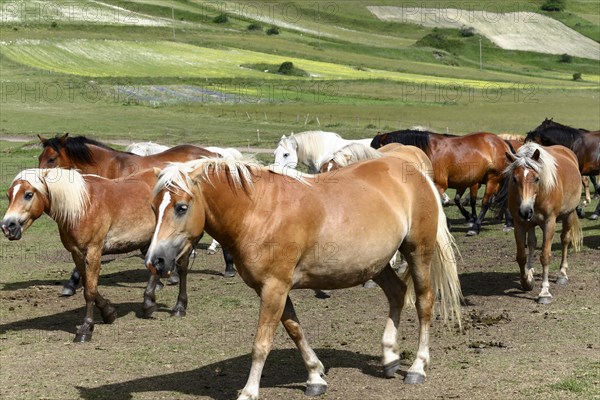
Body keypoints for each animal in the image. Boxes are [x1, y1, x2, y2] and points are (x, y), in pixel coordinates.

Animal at [0, 167, 190, 342]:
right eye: (9, 195)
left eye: (28, 194)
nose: (7, 226)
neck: (83, 206)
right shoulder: (77, 254)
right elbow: (88, 284)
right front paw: (108, 312)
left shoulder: (94, 251)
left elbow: (89, 291)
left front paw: (85, 329)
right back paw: (148, 304)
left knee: (182, 267)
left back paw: (178, 307)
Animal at [143, 156, 462, 400]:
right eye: (153, 207)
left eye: (181, 207)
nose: (155, 261)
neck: (259, 211)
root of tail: (415, 172)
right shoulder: (272, 288)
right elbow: (294, 329)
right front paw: (315, 376)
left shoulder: (274, 287)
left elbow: (261, 343)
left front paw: (249, 392)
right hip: (376, 263)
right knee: (396, 293)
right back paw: (390, 357)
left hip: (418, 252)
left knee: (424, 302)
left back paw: (417, 368)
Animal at [372, 130, 508, 236]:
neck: (427, 153)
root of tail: (502, 142)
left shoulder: (440, 185)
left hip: (493, 179)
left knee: (486, 203)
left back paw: (476, 227)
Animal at [504, 143, 584, 304]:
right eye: (514, 179)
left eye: (536, 178)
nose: (525, 210)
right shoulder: (519, 224)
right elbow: (521, 256)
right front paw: (527, 281)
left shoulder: (549, 223)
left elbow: (545, 256)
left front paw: (544, 292)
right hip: (530, 223)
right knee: (532, 243)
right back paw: (530, 271)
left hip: (568, 215)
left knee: (565, 240)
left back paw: (562, 274)